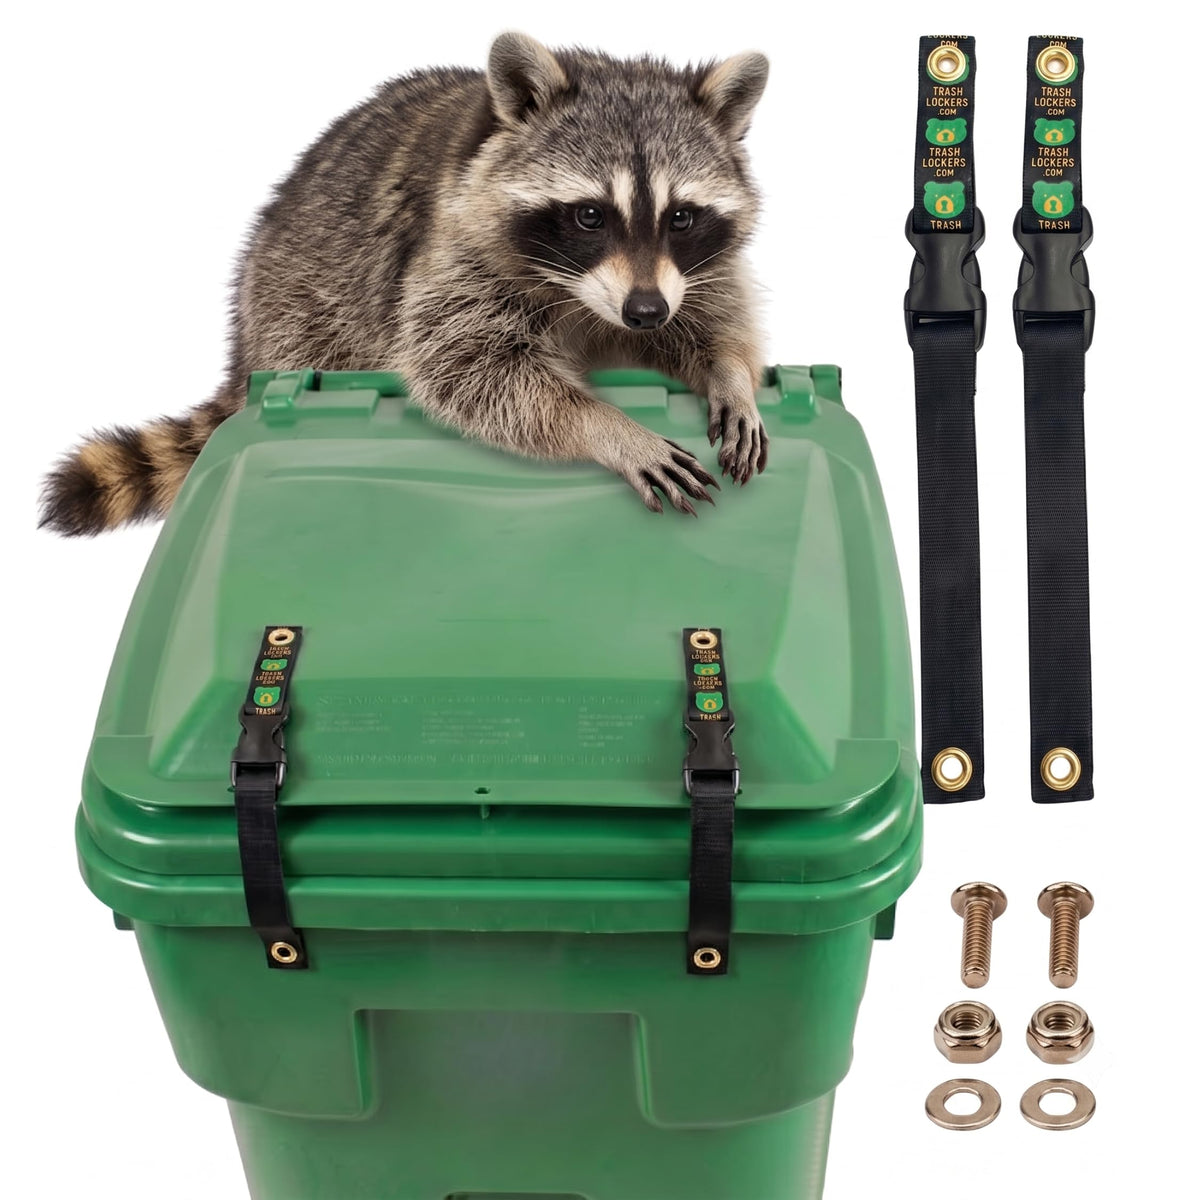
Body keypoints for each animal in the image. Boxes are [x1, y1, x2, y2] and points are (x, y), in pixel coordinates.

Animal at [40, 33, 770, 535]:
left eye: (681, 217)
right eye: (590, 215)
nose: (643, 312)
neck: (584, 298)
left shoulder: (687, 273)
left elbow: (710, 314)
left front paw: (731, 373)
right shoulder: (451, 253)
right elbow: (471, 370)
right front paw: (606, 425)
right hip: (299, 304)